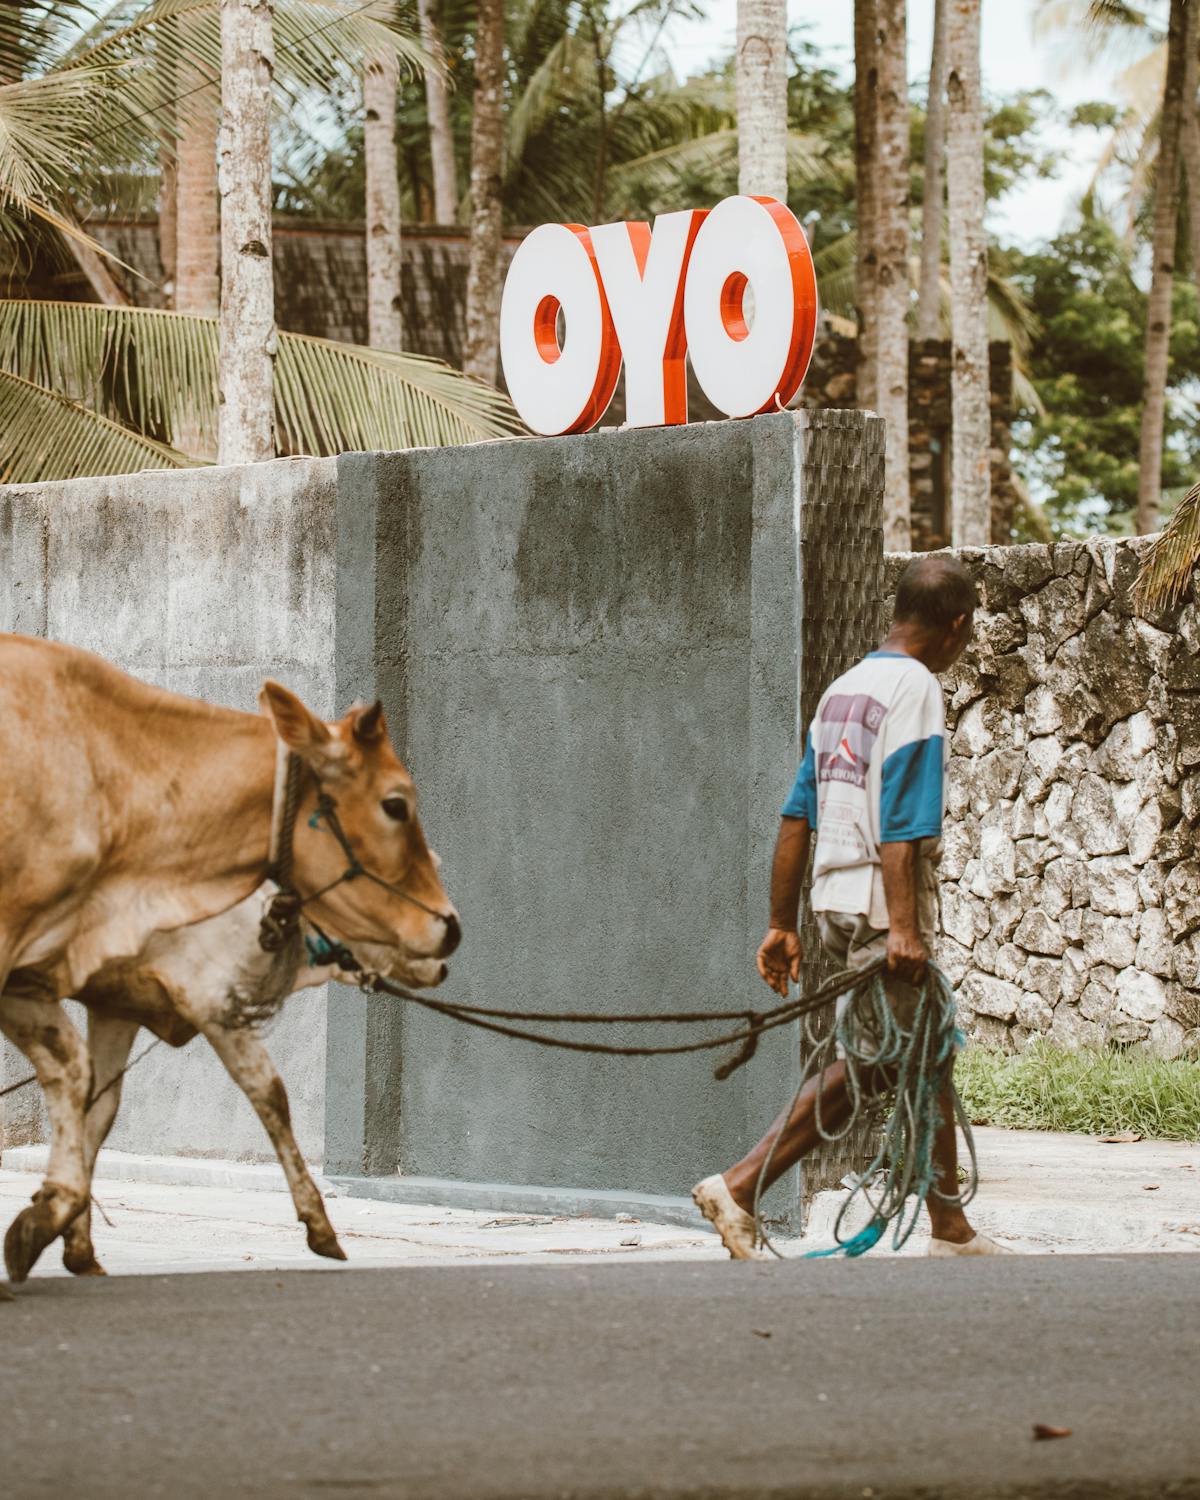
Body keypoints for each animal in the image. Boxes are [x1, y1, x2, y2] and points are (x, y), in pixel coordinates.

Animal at [0, 639, 459, 1284]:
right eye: (396, 806)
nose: (449, 931)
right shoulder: (209, 999)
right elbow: (270, 1092)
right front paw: (320, 1226)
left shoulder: (114, 1003)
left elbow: (98, 1106)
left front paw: (72, 1240)